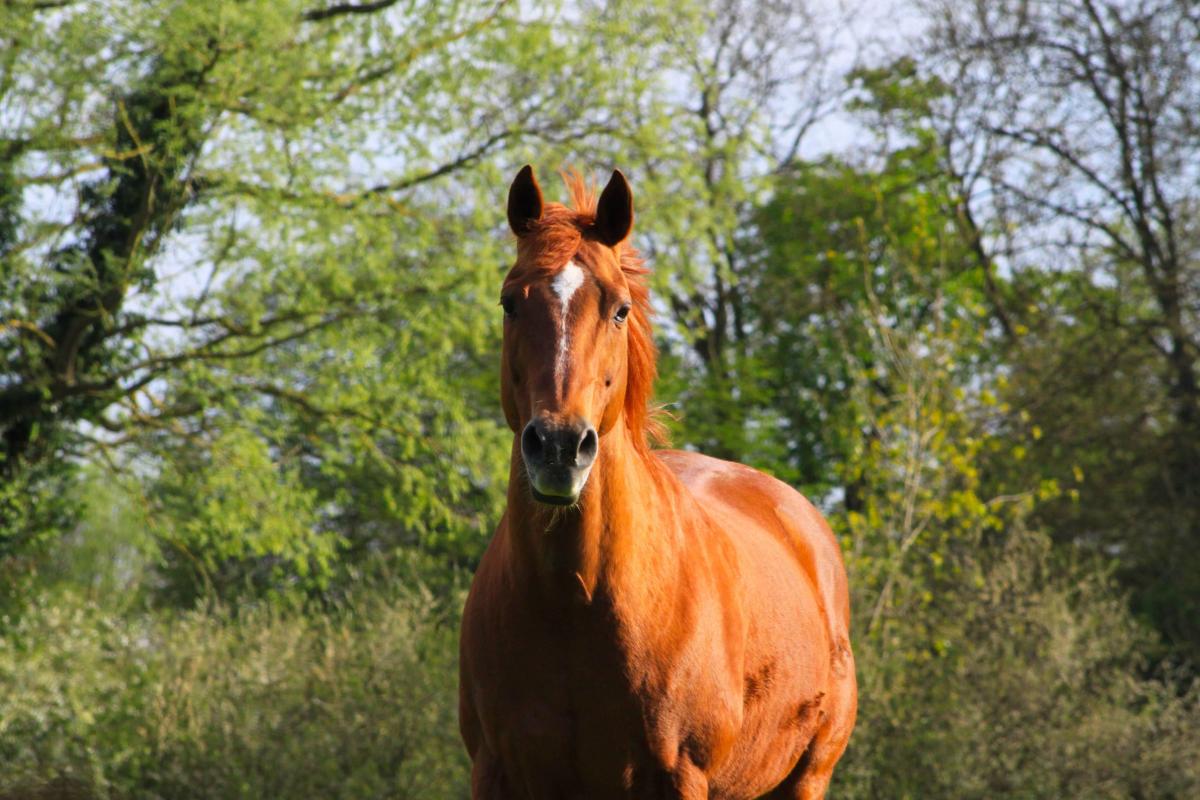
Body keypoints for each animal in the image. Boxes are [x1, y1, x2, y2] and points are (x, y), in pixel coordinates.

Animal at [458, 165, 857, 799]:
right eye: (509, 302)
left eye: (619, 309)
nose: (559, 447)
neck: (573, 602)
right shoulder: (494, 773)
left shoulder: (678, 775)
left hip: (807, 778)